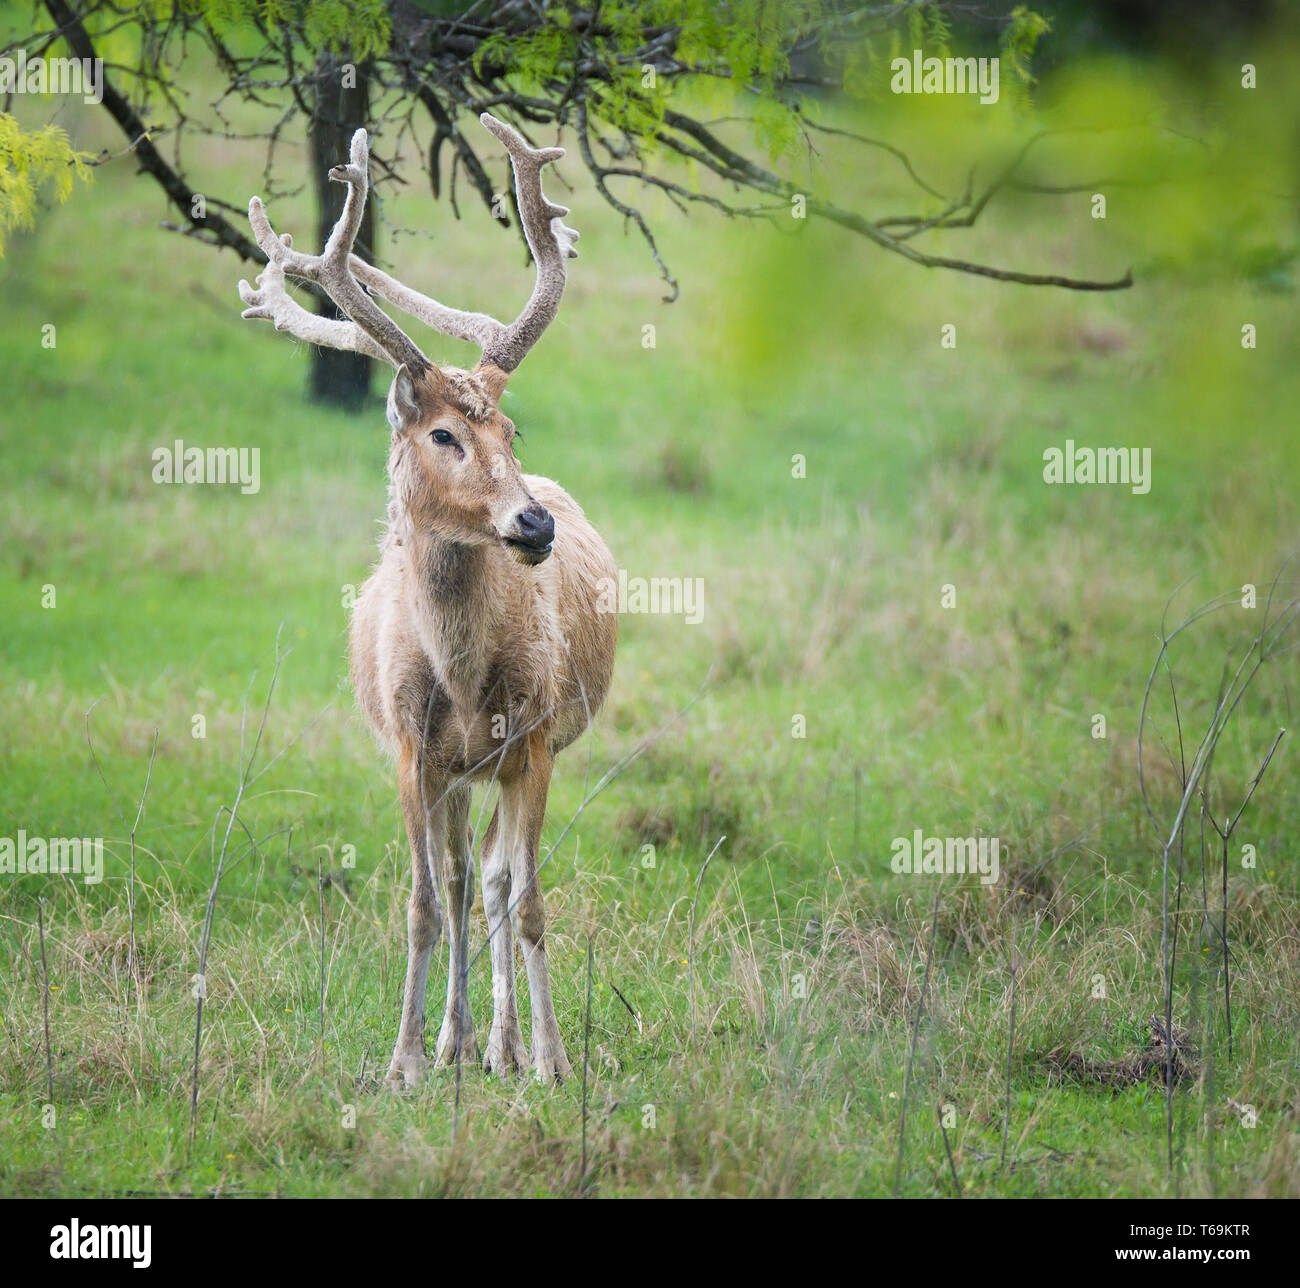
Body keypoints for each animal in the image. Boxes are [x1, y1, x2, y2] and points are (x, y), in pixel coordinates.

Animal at [235, 118, 618, 1086]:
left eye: (510, 429)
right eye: (443, 433)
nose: (532, 522)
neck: (466, 677)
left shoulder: (533, 739)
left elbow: (529, 900)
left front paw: (551, 1060)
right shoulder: (411, 749)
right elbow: (419, 901)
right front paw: (405, 1061)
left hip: (501, 763)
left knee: (493, 880)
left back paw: (503, 1047)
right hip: (452, 773)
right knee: (458, 879)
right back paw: (459, 1043)